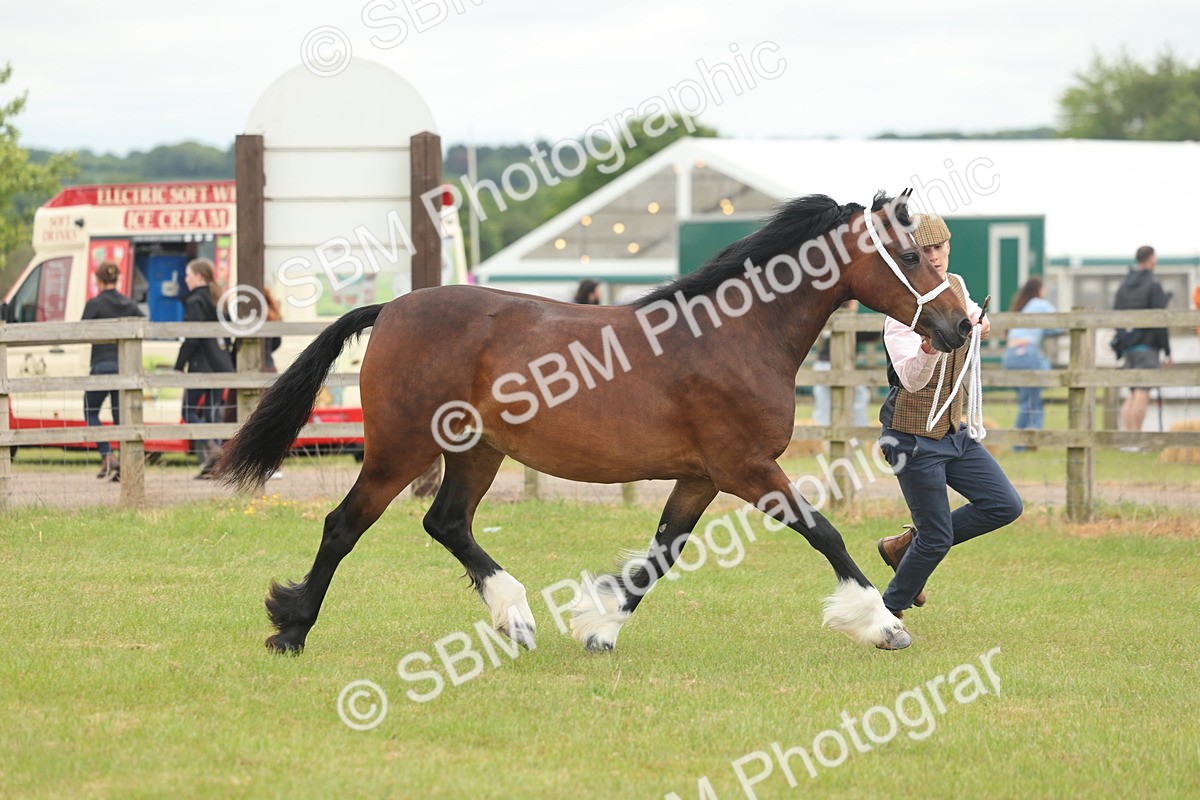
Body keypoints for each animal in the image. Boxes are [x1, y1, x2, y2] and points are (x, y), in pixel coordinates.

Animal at [217, 190, 972, 655]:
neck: (738, 334)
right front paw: (882, 626)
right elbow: (826, 534)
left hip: (477, 451)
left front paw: (597, 627)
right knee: (344, 526)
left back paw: (516, 615)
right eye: (910, 256)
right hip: (399, 450)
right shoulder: (747, 468)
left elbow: (661, 554)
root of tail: (394, 307)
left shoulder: (702, 477)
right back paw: (292, 630)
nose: (960, 324)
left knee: (447, 523)